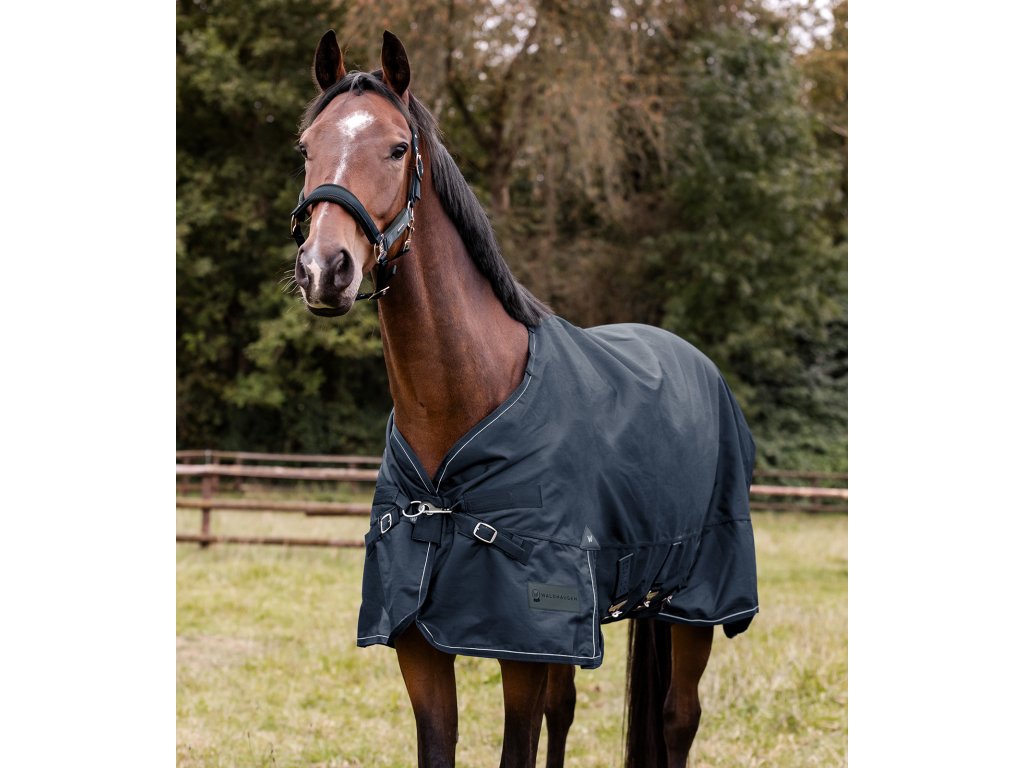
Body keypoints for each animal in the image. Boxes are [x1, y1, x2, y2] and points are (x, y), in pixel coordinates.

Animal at [289, 30, 759, 767]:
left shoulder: (523, 644)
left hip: (695, 601)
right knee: (568, 712)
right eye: (307, 148)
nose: (324, 269)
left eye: (396, 148)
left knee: (679, 717)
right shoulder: (423, 642)